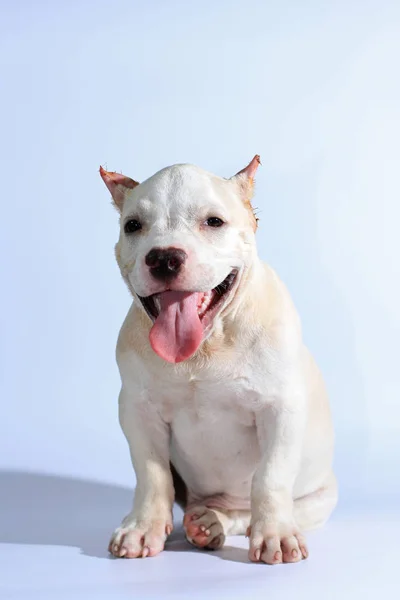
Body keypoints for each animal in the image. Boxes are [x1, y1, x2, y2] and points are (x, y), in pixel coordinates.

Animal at [98, 154, 336, 564]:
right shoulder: (137, 411)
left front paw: (275, 534)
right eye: (133, 226)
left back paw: (215, 523)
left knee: (246, 513)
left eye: (214, 222)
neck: (208, 346)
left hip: (320, 499)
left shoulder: (281, 408)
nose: (164, 257)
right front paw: (143, 526)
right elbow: (152, 473)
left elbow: (271, 477)